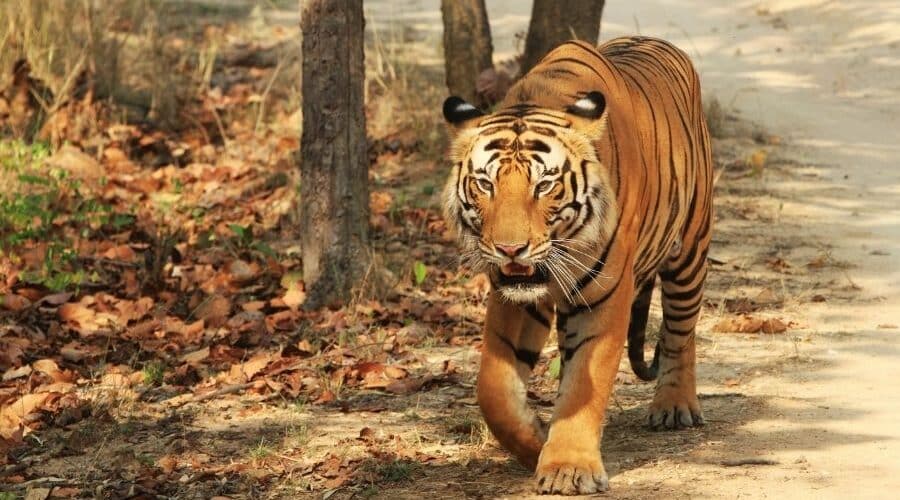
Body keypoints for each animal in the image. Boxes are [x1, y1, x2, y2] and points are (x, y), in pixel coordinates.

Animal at [441, 36, 713, 495]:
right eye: (485, 184)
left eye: (544, 185)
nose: (510, 249)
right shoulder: (513, 298)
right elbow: (494, 389)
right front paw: (535, 443)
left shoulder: (604, 296)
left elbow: (586, 381)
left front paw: (568, 467)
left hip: (690, 248)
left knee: (680, 330)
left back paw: (674, 405)